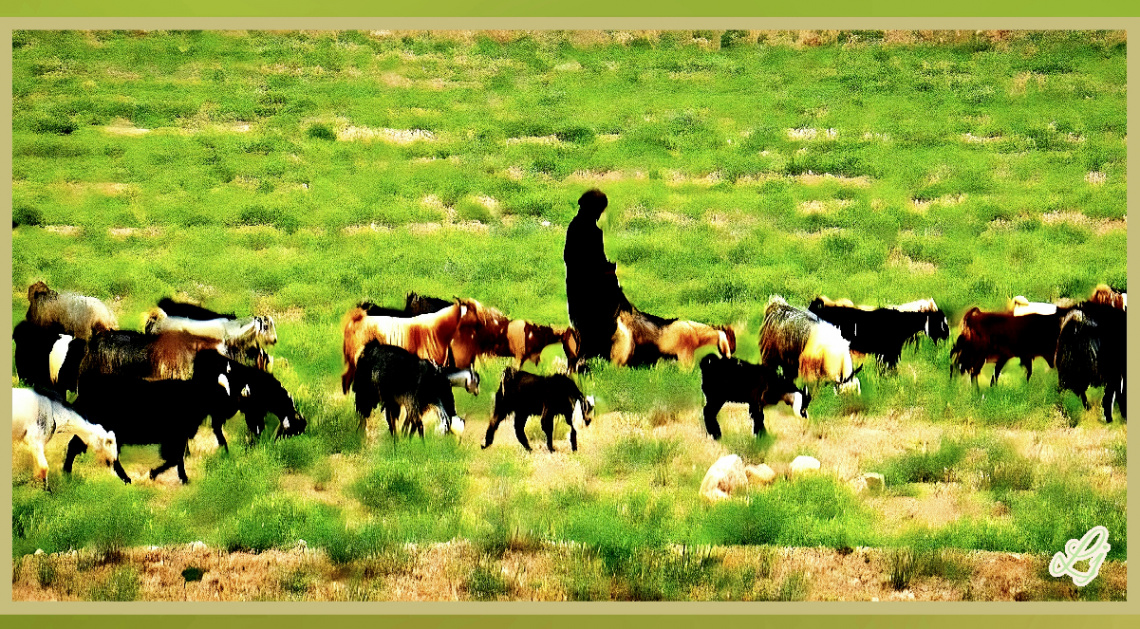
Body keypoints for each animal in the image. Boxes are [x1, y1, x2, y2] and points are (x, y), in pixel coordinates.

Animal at [67, 355, 237, 483]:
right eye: (220, 392)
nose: (232, 409)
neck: (193, 394)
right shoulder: (175, 437)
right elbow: (175, 458)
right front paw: (155, 474)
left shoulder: (178, 438)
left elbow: (177, 459)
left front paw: (181, 478)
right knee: (78, 447)